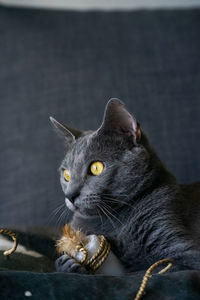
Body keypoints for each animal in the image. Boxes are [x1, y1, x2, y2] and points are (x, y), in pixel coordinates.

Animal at [50, 99, 200, 274]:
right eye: (66, 174)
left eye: (96, 168)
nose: (70, 195)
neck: (110, 221)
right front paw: (66, 263)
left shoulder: (185, 256)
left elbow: (140, 270)